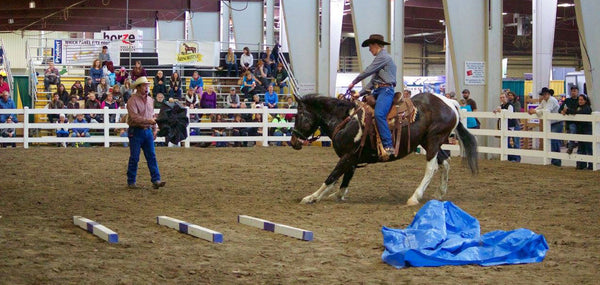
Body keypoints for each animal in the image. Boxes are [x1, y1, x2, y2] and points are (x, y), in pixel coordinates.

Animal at [290, 92, 478, 205]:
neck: (346, 120)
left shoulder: (348, 156)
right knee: (445, 162)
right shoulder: (352, 159)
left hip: (433, 141)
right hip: (429, 142)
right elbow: (345, 179)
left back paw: (415, 197)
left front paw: (311, 197)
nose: (293, 141)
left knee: (431, 168)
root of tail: (449, 103)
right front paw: (338, 195)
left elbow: (332, 177)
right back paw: (439, 194)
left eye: (299, 114)